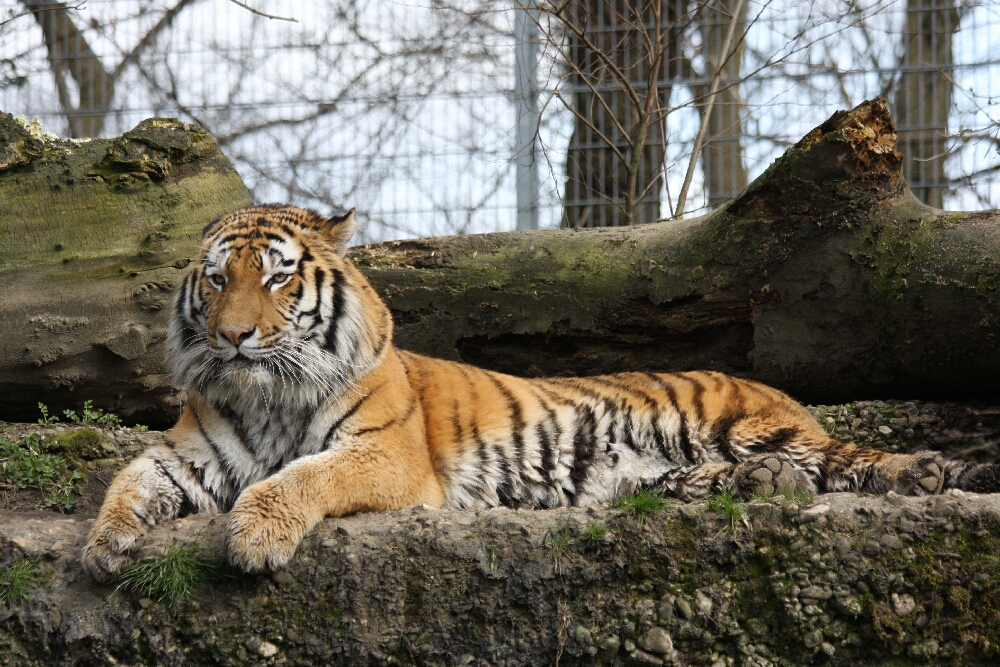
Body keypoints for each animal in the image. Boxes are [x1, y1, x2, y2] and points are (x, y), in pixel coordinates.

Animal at [82, 204, 1000, 581]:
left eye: (275, 278)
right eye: (216, 279)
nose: (234, 335)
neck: (267, 393)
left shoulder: (384, 455)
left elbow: (300, 478)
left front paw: (255, 537)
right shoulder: (188, 452)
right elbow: (128, 479)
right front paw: (104, 548)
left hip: (749, 424)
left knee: (851, 457)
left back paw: (924, 472)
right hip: (669, 467)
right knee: (739, 479)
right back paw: (760, 487)